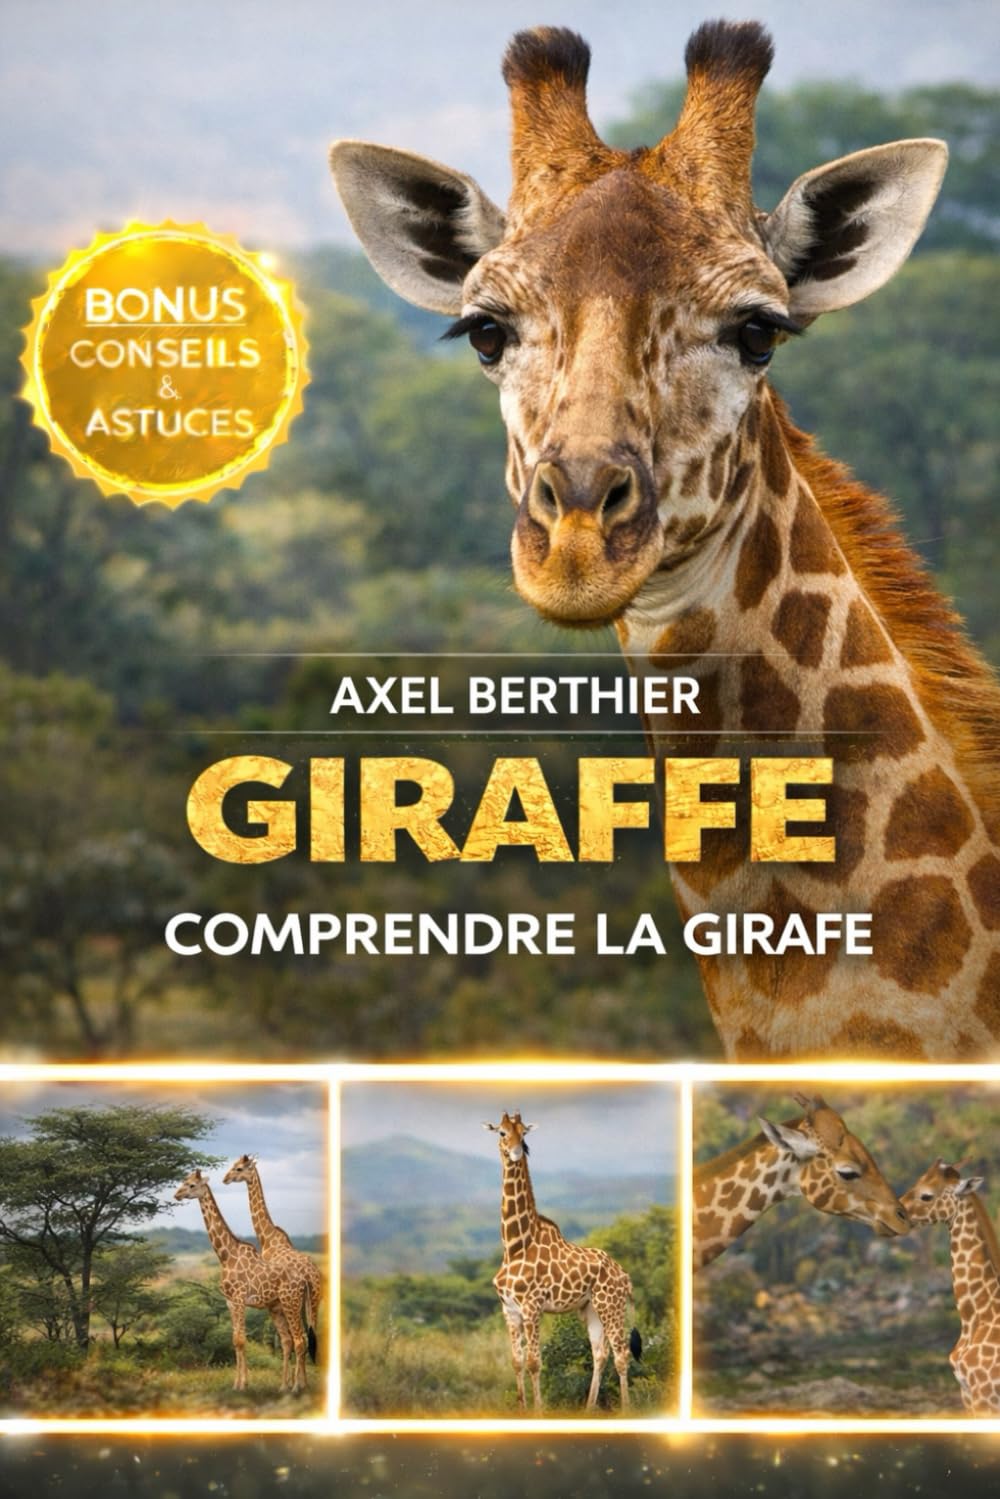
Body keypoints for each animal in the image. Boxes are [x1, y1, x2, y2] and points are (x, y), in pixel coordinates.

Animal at [173, 1169, 316, 1393]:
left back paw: (296, 1388)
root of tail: (304, 1280)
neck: (225, 1256)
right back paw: (290, 1385)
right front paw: (236, 1384)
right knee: (291, 1340)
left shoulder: (240, 1299)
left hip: (290, 1302)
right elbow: (235, 1340)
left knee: (300, 1339)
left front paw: (243, 1385)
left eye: (192, 1185)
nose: (176, 1195)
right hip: (280, 1306)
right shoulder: (230, 1302)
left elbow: (241, 1340)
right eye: (184, 1182)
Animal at [222, 1153, 322, 1365]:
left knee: (302, 1337)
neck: (267, 1237)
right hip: (315, 1299)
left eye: (239, 1168)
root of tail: (312, 1275)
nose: (225, 1179)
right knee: (312, 1335)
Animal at [483, 1111, 642, 1411]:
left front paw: (538, 1412)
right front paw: (522, 1409)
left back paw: (626, 1409)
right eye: (501, 1132)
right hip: (591, 1308)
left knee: (622, 1353)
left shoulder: (532, 1307)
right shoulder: (509, 1310)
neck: (514, 1245)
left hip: (611, 1305)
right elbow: (517, 1362)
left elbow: (534, 1362)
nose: (517, 1152)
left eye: (524, 1133)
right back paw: (589, 1408)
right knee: (600, 1353)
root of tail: (624, 1276)